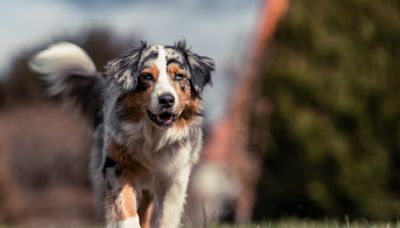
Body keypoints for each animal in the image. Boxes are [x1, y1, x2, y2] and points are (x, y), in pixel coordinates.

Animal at [30, 40, 216, 227]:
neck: (154, 136)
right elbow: (124, 208)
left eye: (179, 76)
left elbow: (166, 217)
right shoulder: (116, 164)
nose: (166, 100)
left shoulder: (175, 176)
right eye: (147, 76)